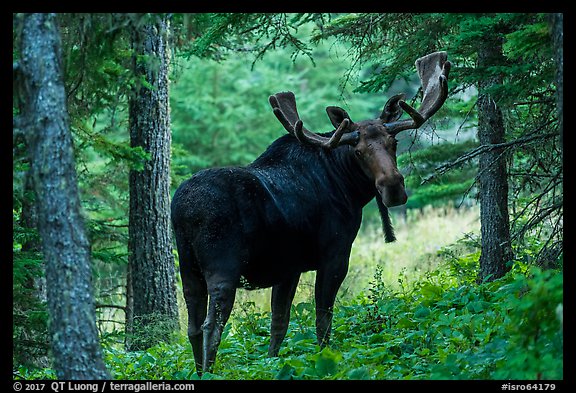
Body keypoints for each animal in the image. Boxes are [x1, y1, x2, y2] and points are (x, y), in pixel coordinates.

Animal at [170, 50, 450, 372]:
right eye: (358, 151)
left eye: (393, 142)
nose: (392, 187)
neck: (349, 188)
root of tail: (182, 210)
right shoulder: (335, 254)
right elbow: (322, 318)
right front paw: (325, 358)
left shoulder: (288, 268)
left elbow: (279, 323)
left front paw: (272, 363)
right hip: (222, 267)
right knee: (211, 326)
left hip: (188, 269)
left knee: (192, 327)